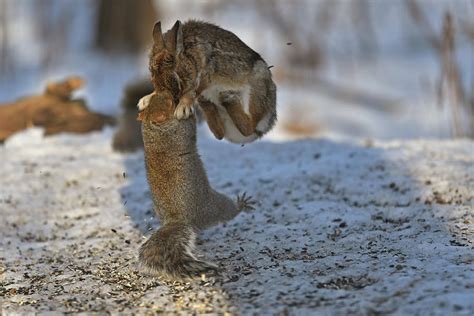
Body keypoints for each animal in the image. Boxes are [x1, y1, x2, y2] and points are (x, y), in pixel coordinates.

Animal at [137, 19, 278, 143]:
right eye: (153, 79)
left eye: (176, 78)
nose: (171, 100)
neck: (189, 59)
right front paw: (145, 101)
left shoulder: (205, 75)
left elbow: (191, 92)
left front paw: (182, 109)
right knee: (220, 133)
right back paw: (211, 102)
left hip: (257, 88)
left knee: (249, 126)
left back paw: (228, 97)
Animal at [137, 90, 256, 278]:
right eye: (169, 102)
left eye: (158, 99)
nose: (172, 95)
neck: (153, 129)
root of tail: (178, 218)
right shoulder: (179, 131)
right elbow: (190, 126)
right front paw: (190, 109)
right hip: (215, 206)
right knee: (228, 212)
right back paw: (241, 204)